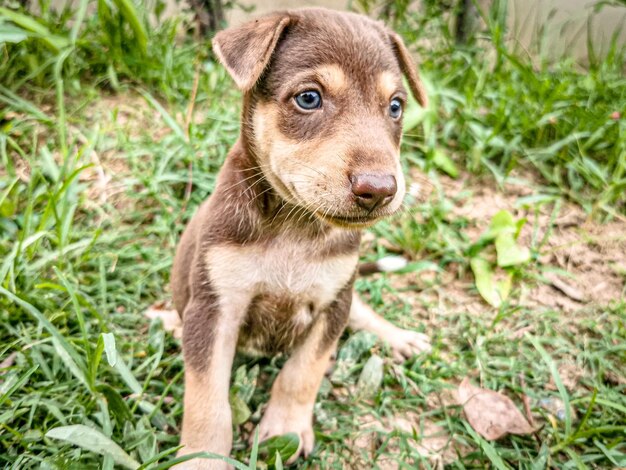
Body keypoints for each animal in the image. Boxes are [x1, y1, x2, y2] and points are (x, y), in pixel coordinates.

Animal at [173, 6, 432, 466]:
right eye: (308, 98)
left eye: (396, 106)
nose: (380, 189)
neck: (295, 226)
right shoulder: (214, 308)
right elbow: (207, 400)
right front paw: (201, 458)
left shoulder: (333, 303)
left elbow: (302, 371)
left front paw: (286, 431)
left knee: (361, 310)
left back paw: (398, 337)